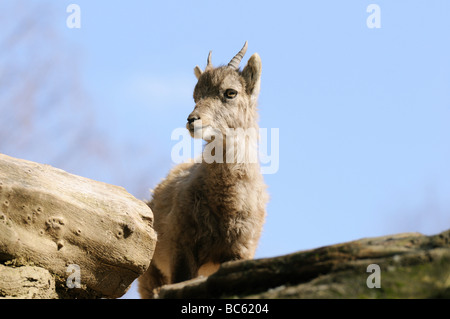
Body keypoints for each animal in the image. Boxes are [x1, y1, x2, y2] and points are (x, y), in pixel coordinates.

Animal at [138, 42, 268, 300]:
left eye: (230, 92)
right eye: (196, 95)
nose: (192, 120)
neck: (226, 204)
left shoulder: (240, 251)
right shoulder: (182, 248)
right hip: (150, 273)